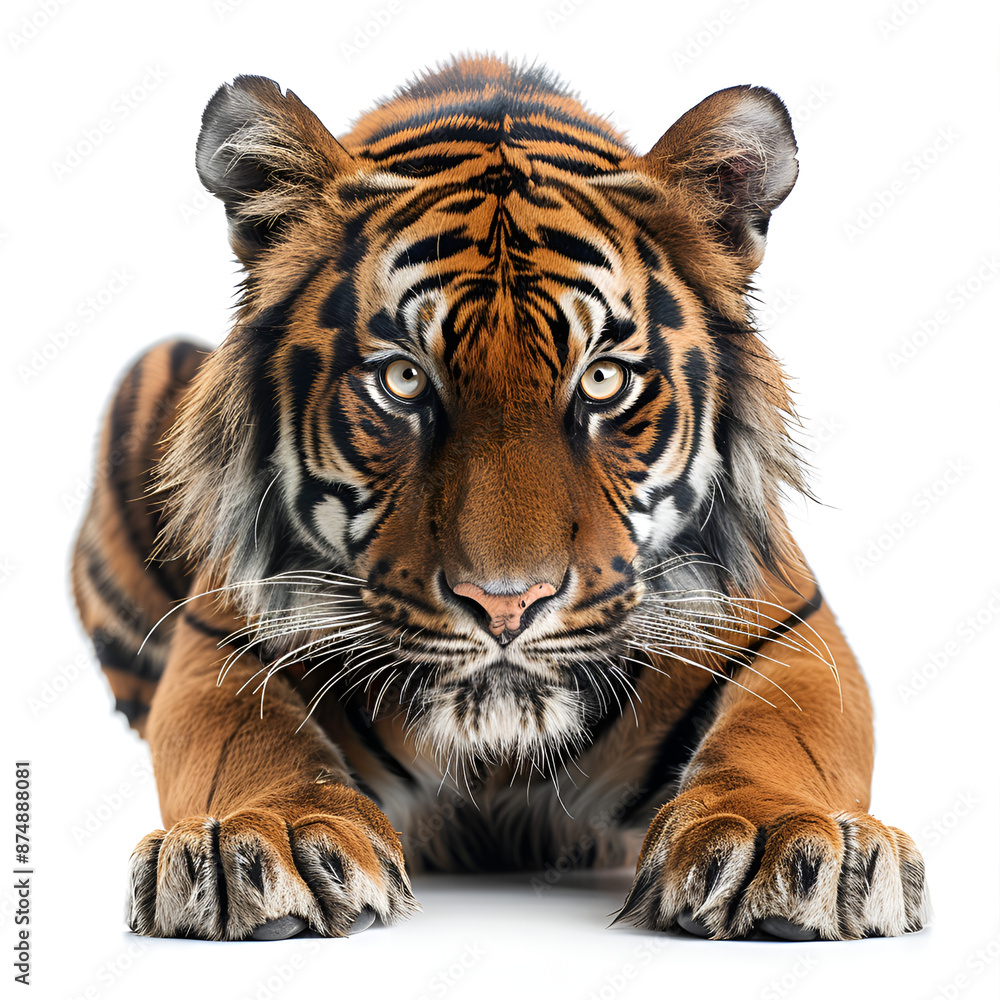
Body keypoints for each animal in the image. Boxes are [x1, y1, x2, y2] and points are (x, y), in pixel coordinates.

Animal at [72, 55, 928, 942]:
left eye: (602, 379)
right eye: (404, 379)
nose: (506, 604)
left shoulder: (788, 627)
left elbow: (783, 736)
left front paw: (779, 838)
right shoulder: (224, 638)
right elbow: (244, 740)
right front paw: (259, 837)